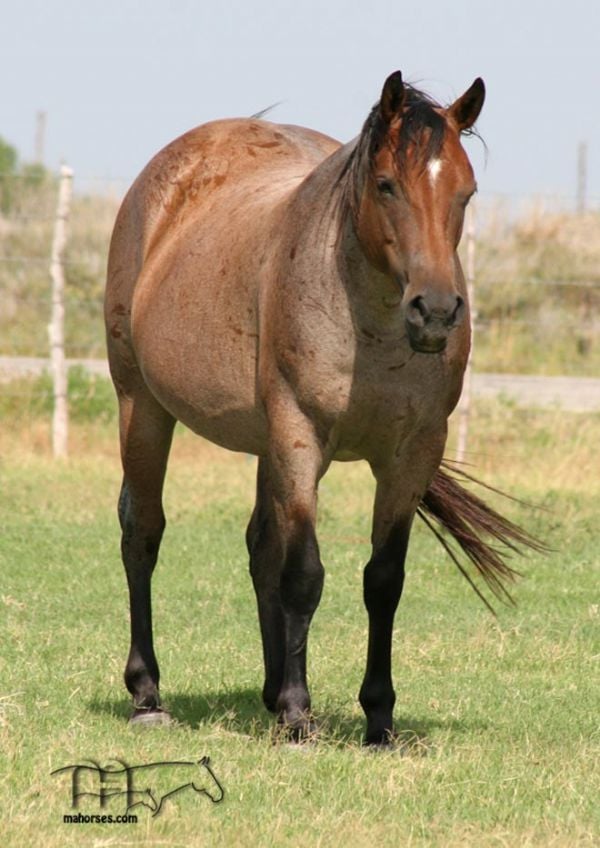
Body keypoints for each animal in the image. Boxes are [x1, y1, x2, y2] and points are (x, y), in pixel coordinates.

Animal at [105, 73, 536, 744]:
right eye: (386, 185)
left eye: (465, 192)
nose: (436, 312)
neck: (371, 327)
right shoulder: (301, 436)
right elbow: (305, 574)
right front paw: (298, 713)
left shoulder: (412, 455)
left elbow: (382, 580)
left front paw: (377, 717)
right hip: (142, 406)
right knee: (142, 532)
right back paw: (149, 694)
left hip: (263, 443)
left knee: (260, 547)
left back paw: (267, 690)